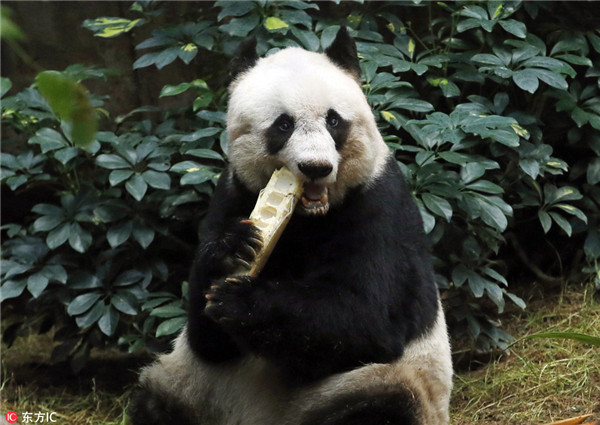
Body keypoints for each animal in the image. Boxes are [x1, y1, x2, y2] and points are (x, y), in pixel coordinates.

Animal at [129, 27, 452, 424]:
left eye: (333, 120)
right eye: (283, 124)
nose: (316, 167)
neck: (307, 217)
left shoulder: (381, 205)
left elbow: (370, 316)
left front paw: (242, 301)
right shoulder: (232, 194)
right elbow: (207, 339)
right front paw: (231, 250)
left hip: (369, 388)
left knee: (385, 399)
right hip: (193, 389)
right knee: (155, 401)